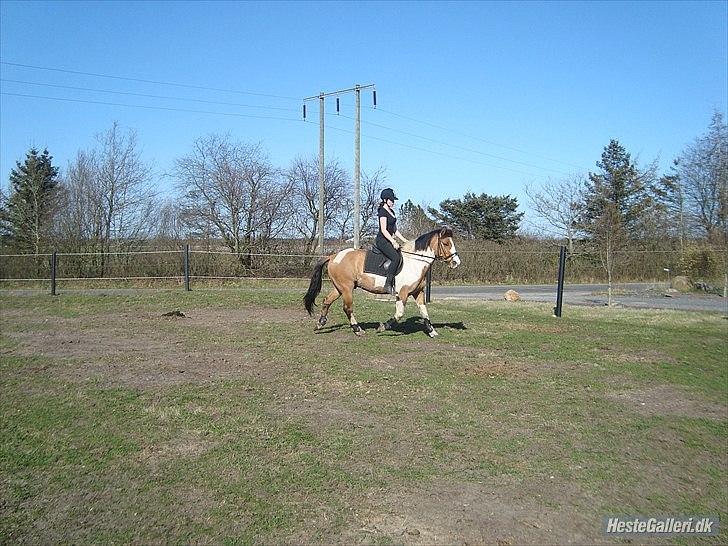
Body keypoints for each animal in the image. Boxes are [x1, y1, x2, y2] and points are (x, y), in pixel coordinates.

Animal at [302, 225, 460, 336]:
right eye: (446, 244)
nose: (456, 262)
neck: (414, 262)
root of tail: (333, 256)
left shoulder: (418, 292)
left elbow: (424, 312)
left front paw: (432, 331)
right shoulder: (402, 294)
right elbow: (399, 314)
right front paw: (383, 327)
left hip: (339, 287)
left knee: (326, 301)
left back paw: (320, 324)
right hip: (346, 288)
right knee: (347, 308)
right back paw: (357, 329)